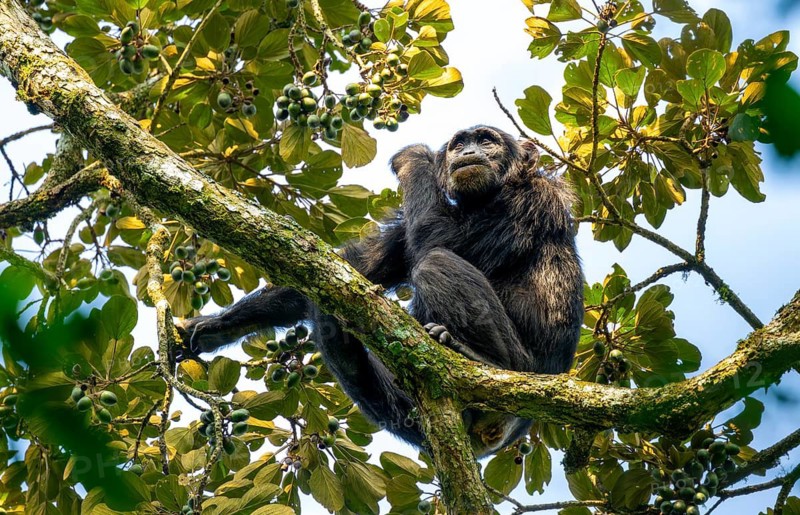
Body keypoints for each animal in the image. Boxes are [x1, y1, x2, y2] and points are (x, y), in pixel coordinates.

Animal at [176, 126, 584, 457]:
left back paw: (481, 359)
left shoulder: (528, 201)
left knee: (436, 262)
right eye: (459, 142)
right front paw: (216, 328)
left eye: (486, 140)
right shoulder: (403, 232)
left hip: (523, 374)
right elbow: (342, 269)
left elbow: (438, 238)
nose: (467, 151)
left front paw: (415, 156)